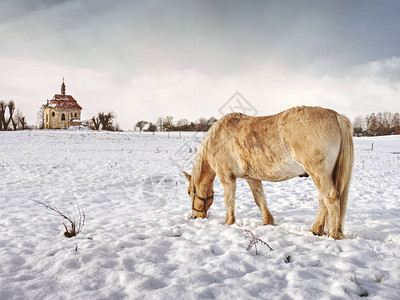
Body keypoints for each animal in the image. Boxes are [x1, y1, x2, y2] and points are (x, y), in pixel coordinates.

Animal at [184, 105, 354, 239]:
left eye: (190, 192)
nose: (194, 216)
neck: (217, 139)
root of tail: (335, 116)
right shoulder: (251, 177)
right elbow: (259, 198)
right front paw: (268, 221)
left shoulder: (227, 177)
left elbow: (229, 200)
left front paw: (228, 222)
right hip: (322, 175)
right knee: (323, 200)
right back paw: (316, 230)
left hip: (319, 173)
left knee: (330, 197)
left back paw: (333, 234)